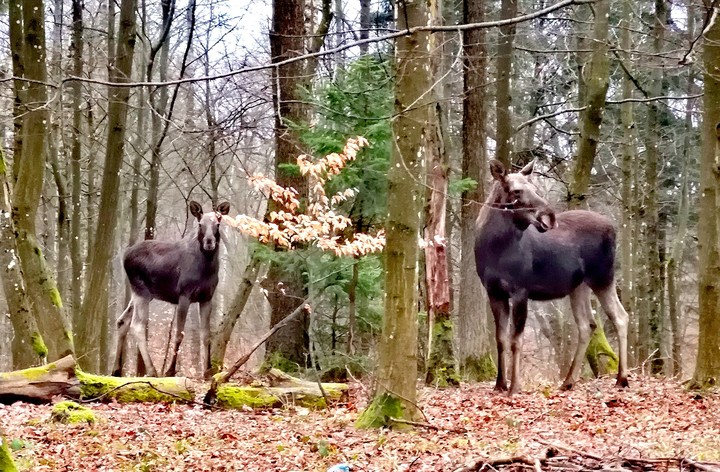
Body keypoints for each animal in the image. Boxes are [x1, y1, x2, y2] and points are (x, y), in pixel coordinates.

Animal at [113, 201, 231, 378]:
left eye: (217, 224)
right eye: (200, 224)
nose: (209, 242)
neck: (206, 268)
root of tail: (124, 256)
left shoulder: (207, 297)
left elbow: (206, 335)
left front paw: (208, 371)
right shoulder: (184, 295)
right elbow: (178, 334)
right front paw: (170, 370)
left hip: (143, 293)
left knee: (122, 321)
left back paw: (116, 370)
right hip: (141, 290)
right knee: (137, 325)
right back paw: (152, 370)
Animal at [476, 161, 628, 394]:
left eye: (534, 187)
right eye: (516, 191)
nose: (549, 216)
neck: (494, 248)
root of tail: (614, 228)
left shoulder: (520, 289)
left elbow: (515, 340)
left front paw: (514, 387)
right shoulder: (493, 292)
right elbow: (500, 339)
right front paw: (499, 384)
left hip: (603, 276)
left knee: (620, 316)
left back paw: (622, 378)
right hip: (579, 286)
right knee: (587, 325)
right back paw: (568, 381)